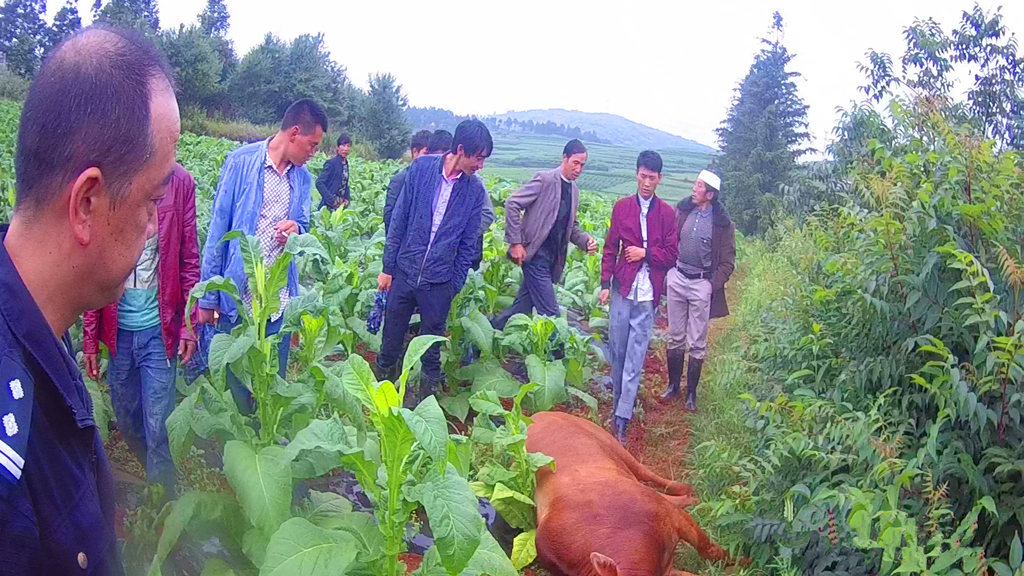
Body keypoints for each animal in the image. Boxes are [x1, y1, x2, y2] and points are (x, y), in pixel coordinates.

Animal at [526, 411, 727, 576]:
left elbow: (707, 547)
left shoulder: (671, 514)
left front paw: (734, 561)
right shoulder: (667, 568)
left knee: (645, 472)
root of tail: (536, 415)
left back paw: (689, 492)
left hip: (607, 439)